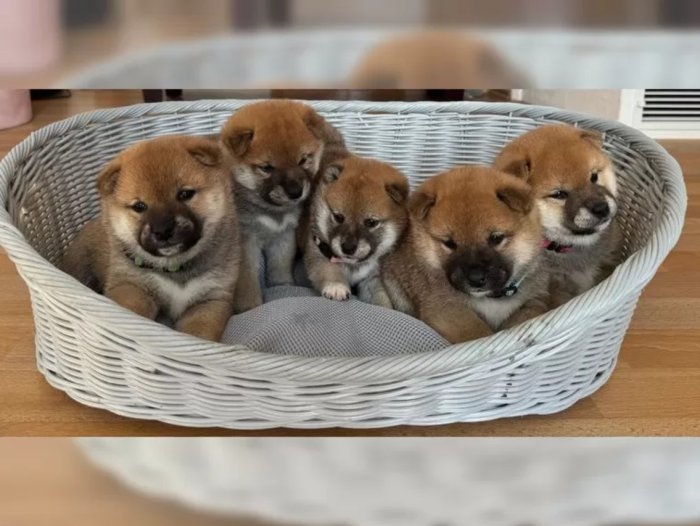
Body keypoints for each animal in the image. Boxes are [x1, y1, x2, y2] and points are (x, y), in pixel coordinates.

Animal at [61, 135, 240, 342]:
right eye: (139, 206)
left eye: (185, 194)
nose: (162, 231)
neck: (175, 268)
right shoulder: (131, 286)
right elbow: (132, 313)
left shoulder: (210, 300)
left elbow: (199, 333)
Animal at [219, 100, 341, 311]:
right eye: (267, 168)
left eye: (303, 160)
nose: (296, 192)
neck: (270, 212)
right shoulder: (246, 244)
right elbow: (247, 281)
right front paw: (249, 306)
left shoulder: (284, 237)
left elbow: (280, 267)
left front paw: (283, 286)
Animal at [304, 156, 409, 307]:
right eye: (338, 217)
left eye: (371, 222)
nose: (348, 248)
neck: (352, 264)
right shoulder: (319, 255)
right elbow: (329, 271)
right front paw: (336, 287)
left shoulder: (372, 278)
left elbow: (380, 295)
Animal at [383, 166, 548, 343]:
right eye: (449, 243)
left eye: (496, 238)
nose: (475, 278)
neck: (491, 298)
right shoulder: (447, 308)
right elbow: (478, 334)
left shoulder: (534, 301)